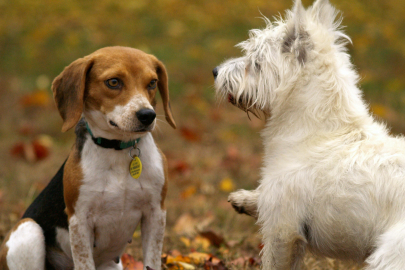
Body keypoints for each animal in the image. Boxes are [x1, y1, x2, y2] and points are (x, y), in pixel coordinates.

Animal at [0, 47, 175, 270]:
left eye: (152, 83)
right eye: (113, 82)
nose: (147, 115)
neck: (118, 150)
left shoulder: (156, 214)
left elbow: (151, 260)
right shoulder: (79, 220)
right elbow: (84, 261)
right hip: (28, 229)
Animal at [213, 0, 404, 270]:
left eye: (256, 61)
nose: (215, 71)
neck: (321, 133)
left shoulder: (283, 230)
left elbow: (273, 261)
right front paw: (245, 199)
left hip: (390, 254)